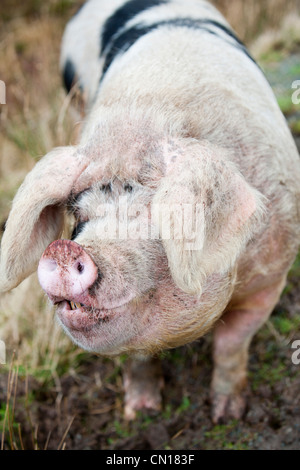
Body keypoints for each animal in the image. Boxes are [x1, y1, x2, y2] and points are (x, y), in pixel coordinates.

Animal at [0, 0, 300, 422]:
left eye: (156, 217)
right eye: (80, 217)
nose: (63, 250)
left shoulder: (272, 275)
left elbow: (231, 343)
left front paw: (227, 414)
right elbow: (136, 358)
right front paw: (140, 413)